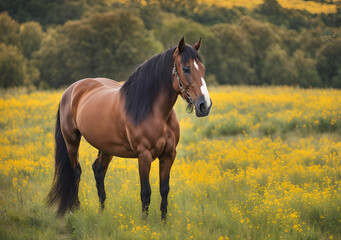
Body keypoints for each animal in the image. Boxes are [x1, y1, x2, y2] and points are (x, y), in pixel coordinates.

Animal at [45, 37, 210, 219]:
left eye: (202, 69)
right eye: (186, 69)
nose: (204, 105)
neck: (156, 113)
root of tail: (71, 90)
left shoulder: (169, 155)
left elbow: (164, 190)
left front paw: (164, 221)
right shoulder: (144, 156)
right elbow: (146, 192)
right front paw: (144, 223)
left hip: (106, 148)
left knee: (98, 170)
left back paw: (102, 211)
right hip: (72, 141)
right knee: (76, 173)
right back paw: (75, 209)